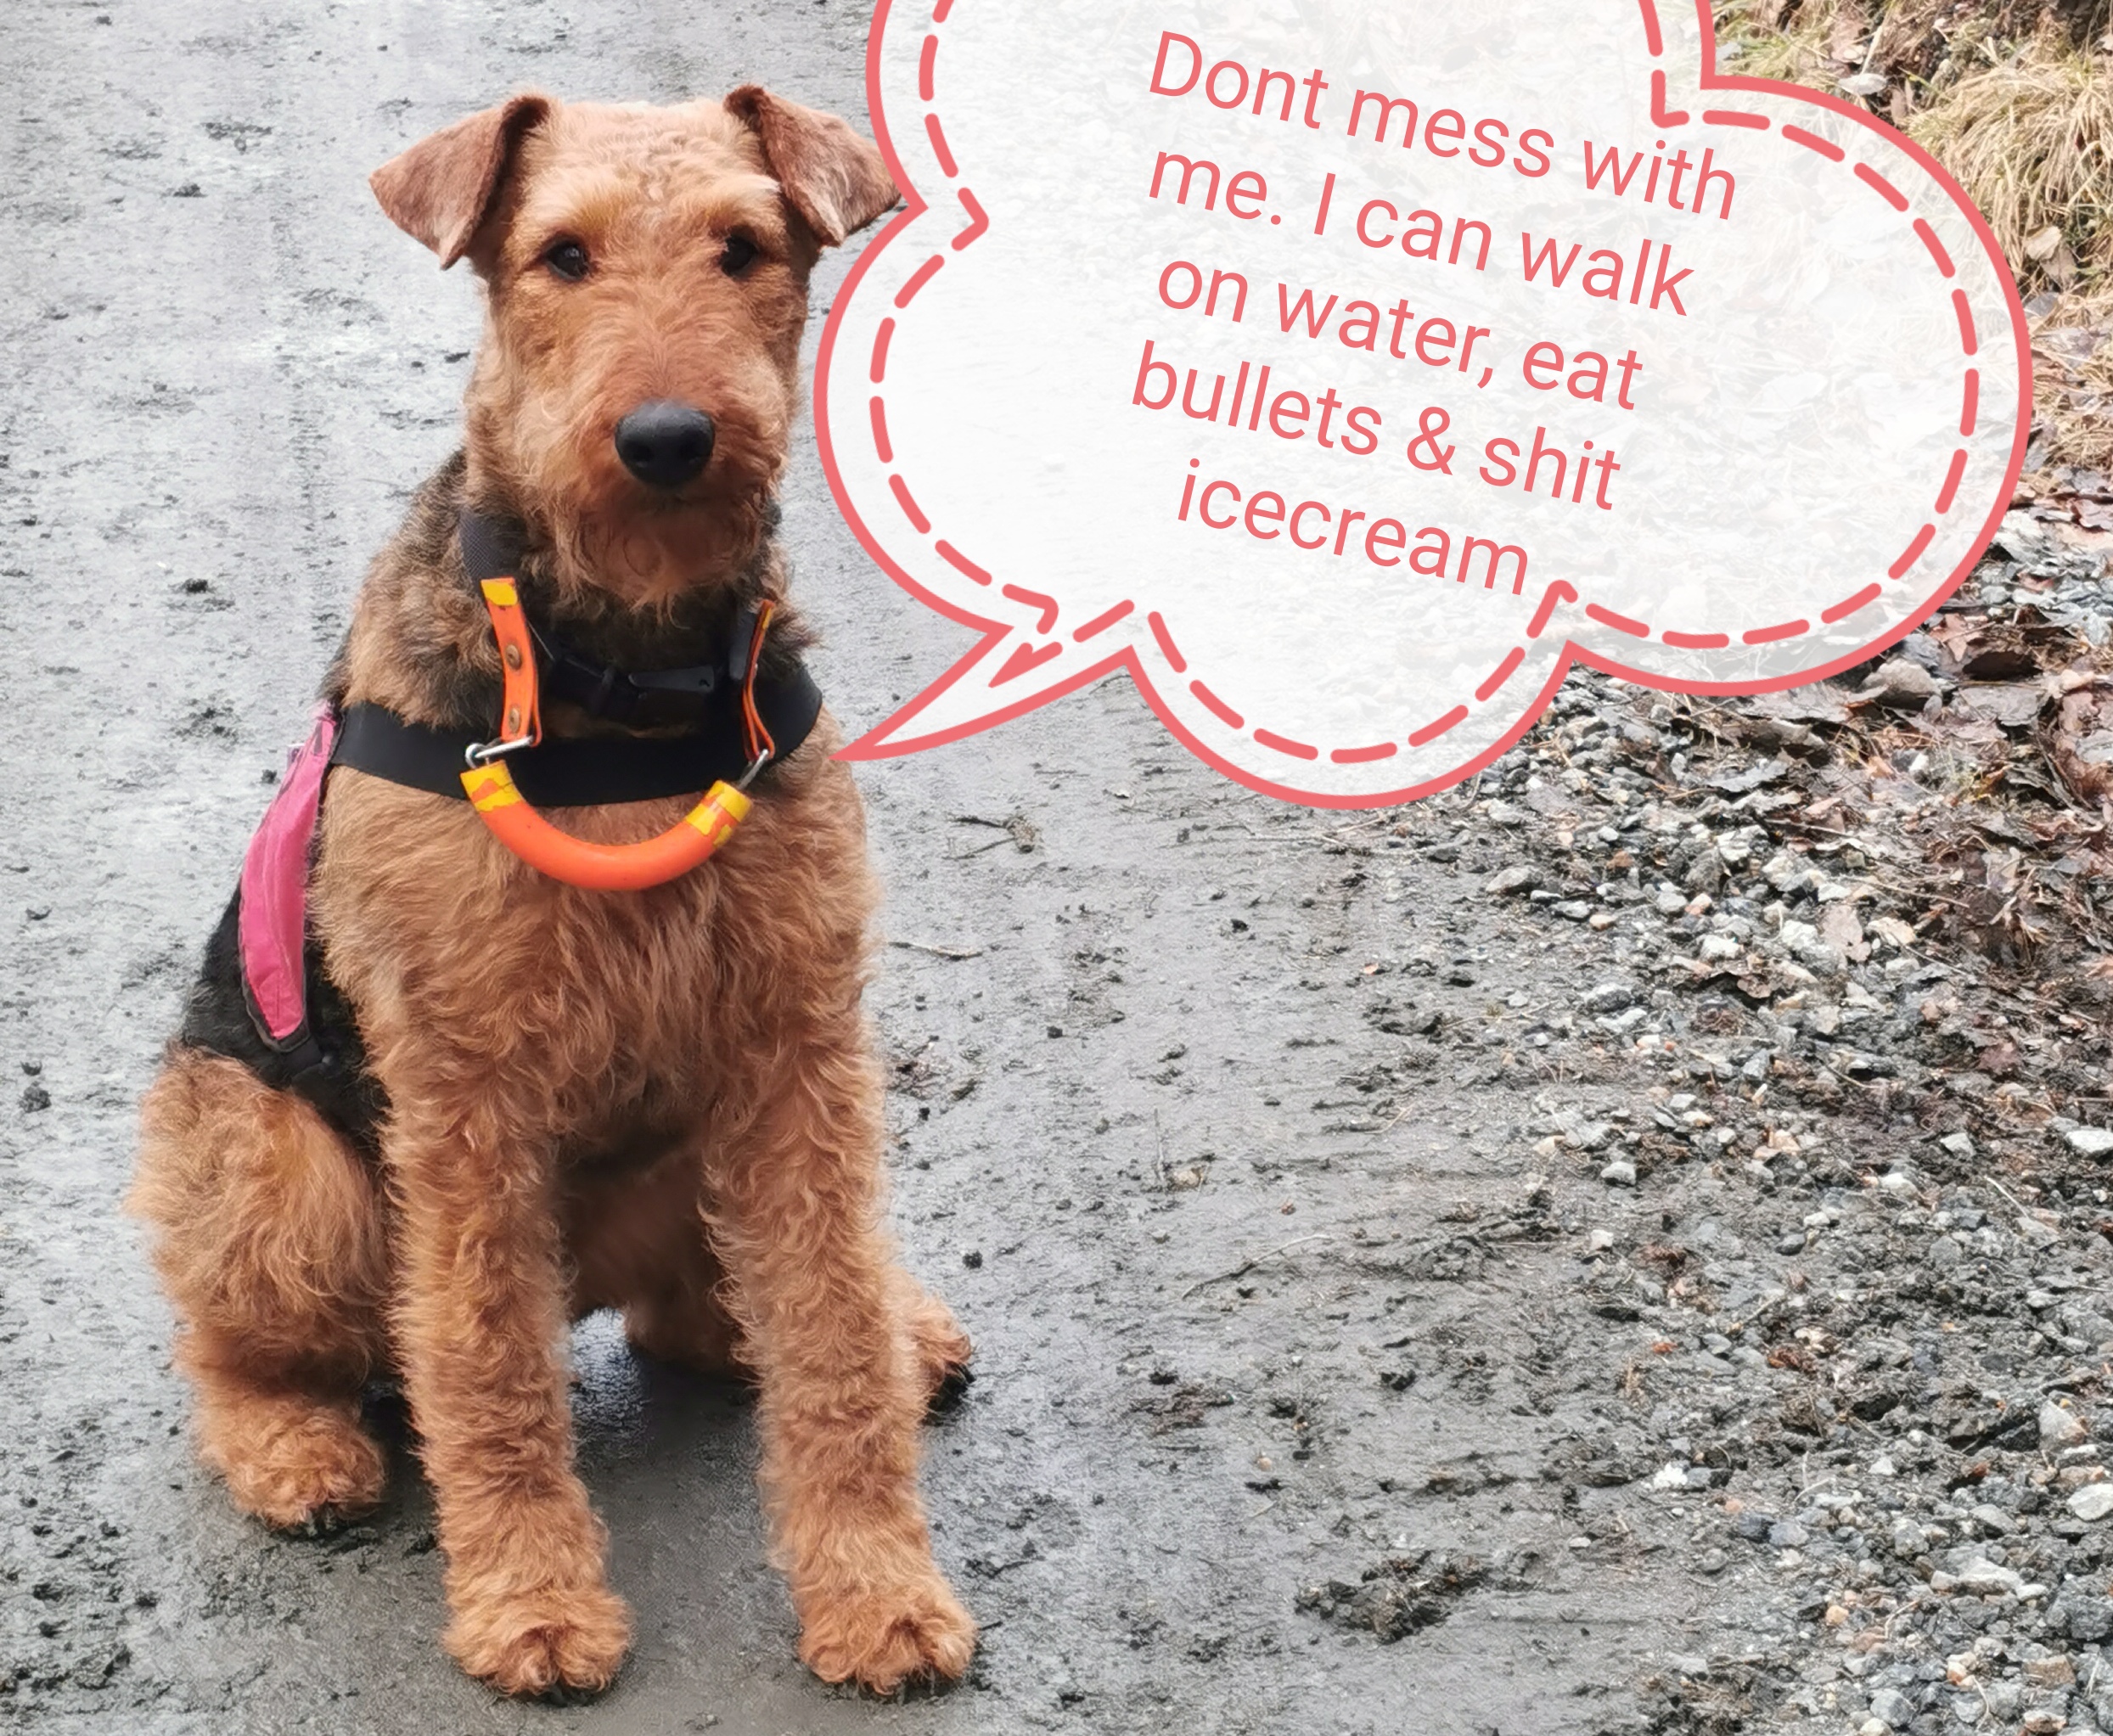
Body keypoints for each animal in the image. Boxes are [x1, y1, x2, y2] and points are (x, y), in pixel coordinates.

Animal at [128, 88, 978, 1699]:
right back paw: (298, 1456)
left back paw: (905, 1333)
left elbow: (830, 1334)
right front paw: (533, 1608)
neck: (626, 672)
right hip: (275, 1161)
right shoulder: (464, 1099)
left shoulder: (797, 1048)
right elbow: (485, 1367)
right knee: (254, 1347)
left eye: (746, 245)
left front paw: (879, 1598)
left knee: (710, 1313)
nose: (667, 441)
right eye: (560, 254)